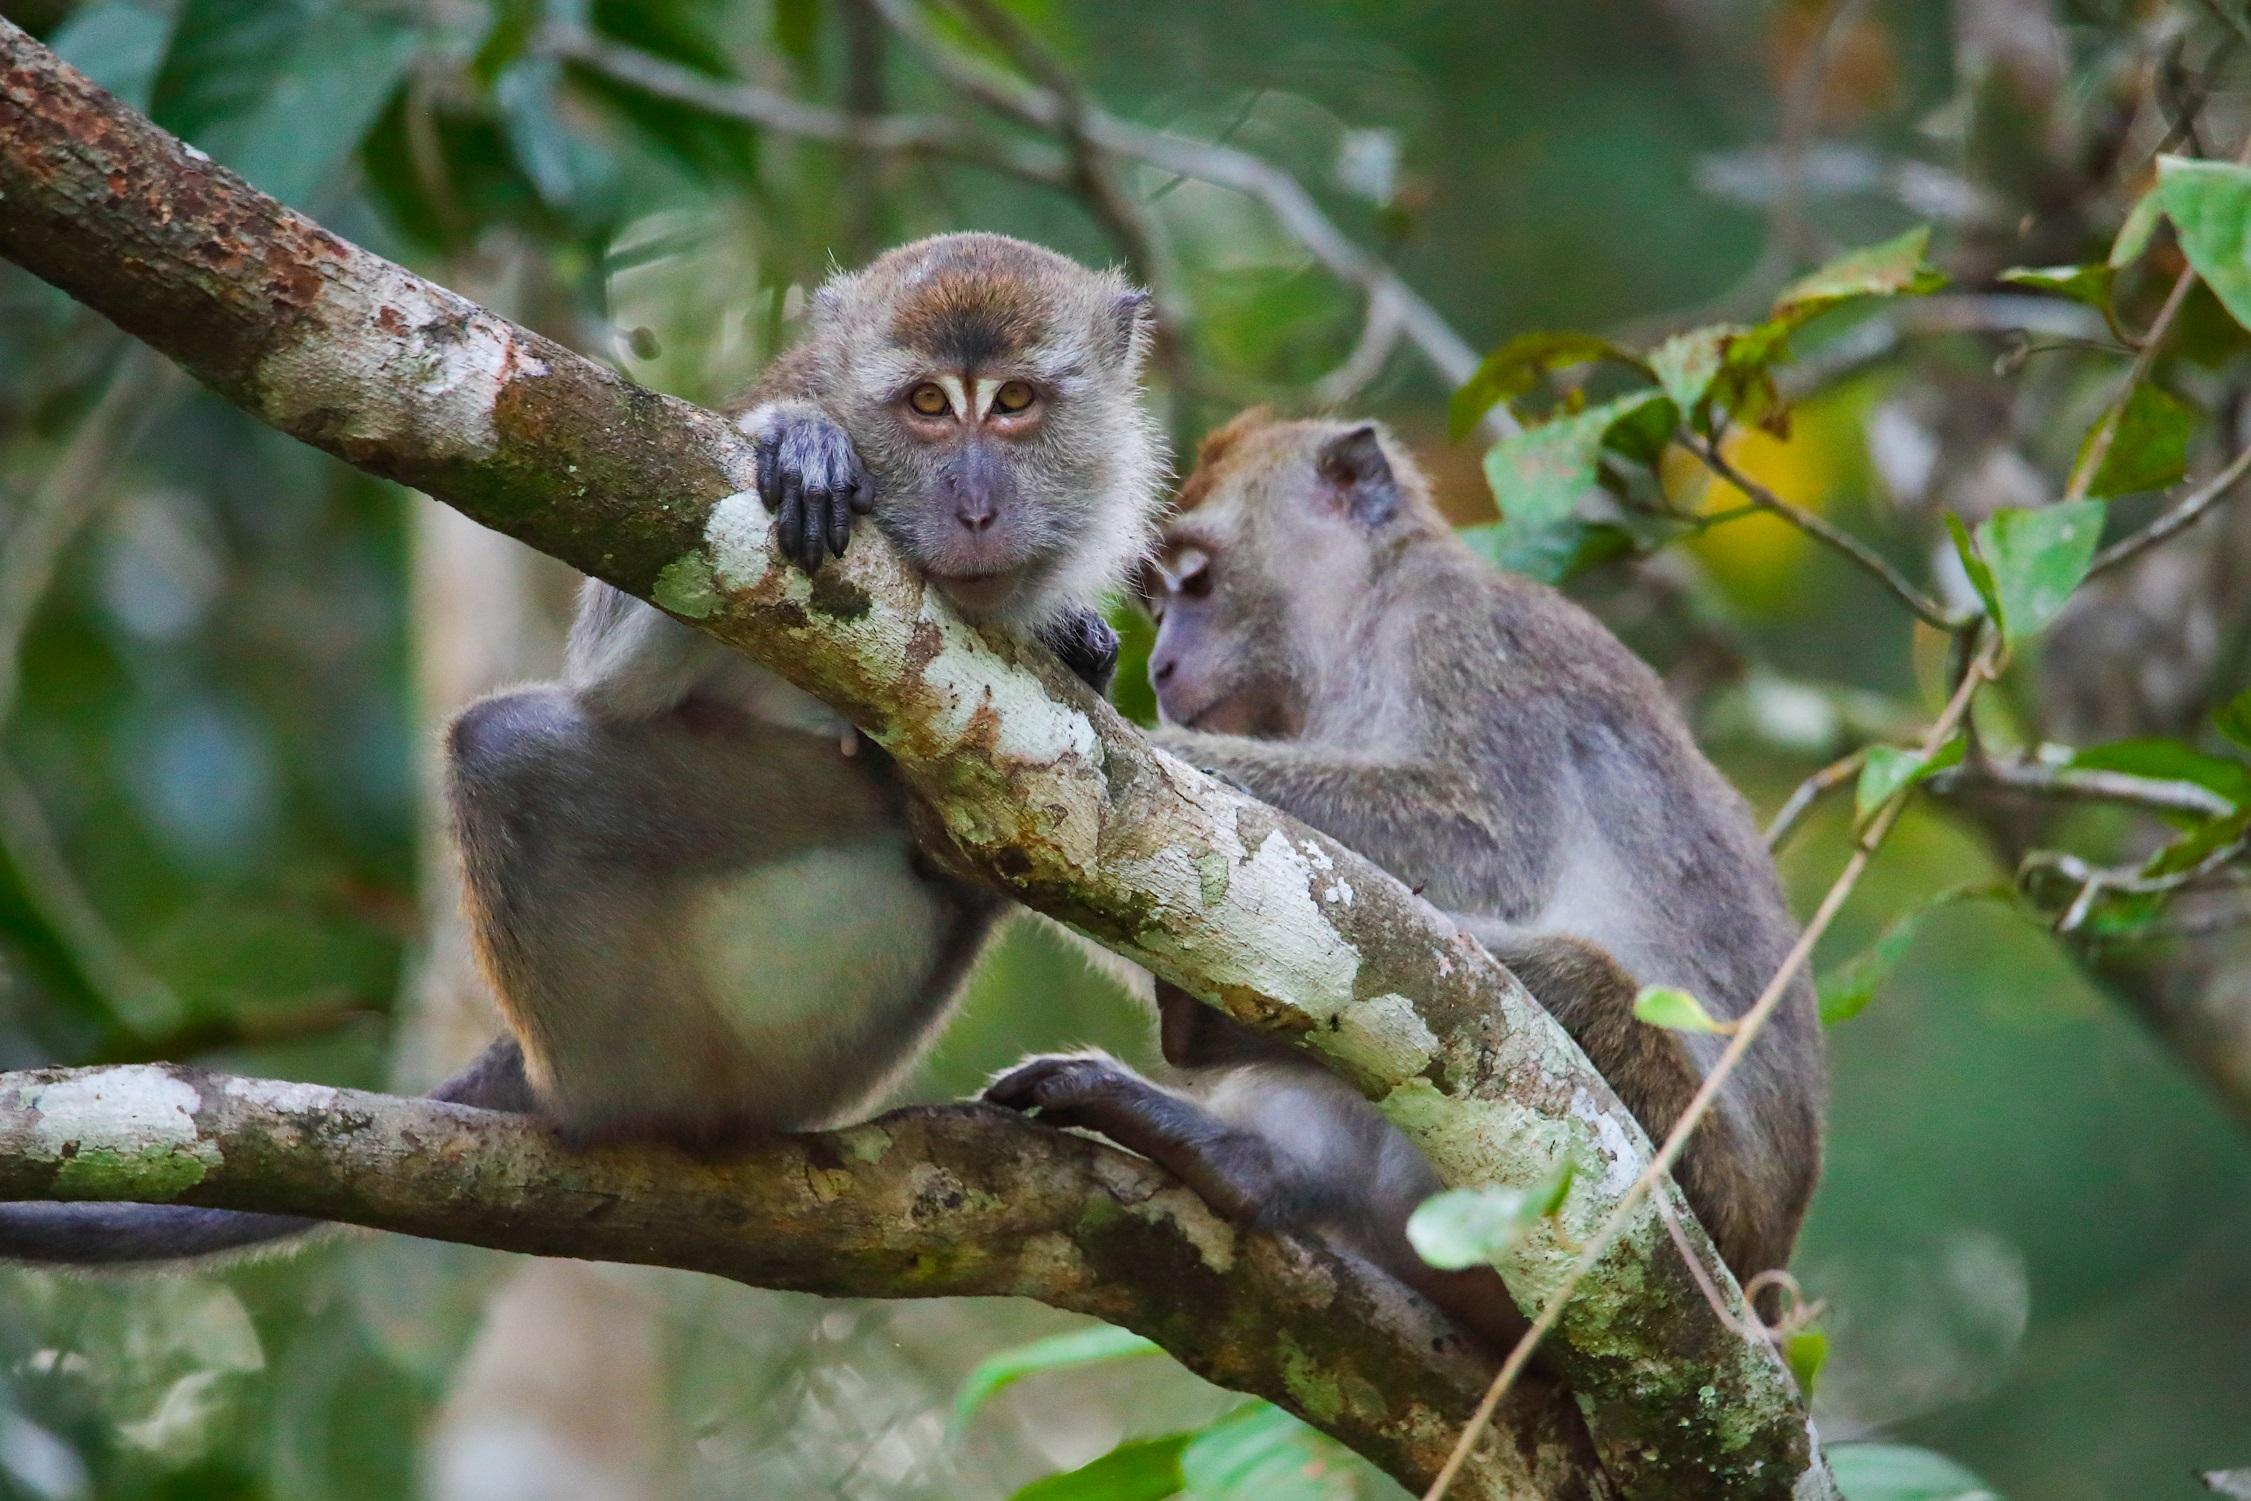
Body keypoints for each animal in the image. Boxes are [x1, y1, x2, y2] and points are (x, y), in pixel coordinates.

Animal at [0, 235, 1161, 1260]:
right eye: (926, 406)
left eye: (1013, 405)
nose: (975, 504)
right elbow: (614, 675)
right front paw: (800, 439)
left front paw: (1082, 640)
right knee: (507, 746)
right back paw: (613, 1110)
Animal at [985, 411, 1827, 1350]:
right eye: (1156, 603)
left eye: (1195, 583)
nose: (1161, 666)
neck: (1360, 622)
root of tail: (1758, 1286)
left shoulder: (1458, 634)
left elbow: (1476, 835)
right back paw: (1239, 1160)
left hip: (1690, 1186)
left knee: (1543, 983)